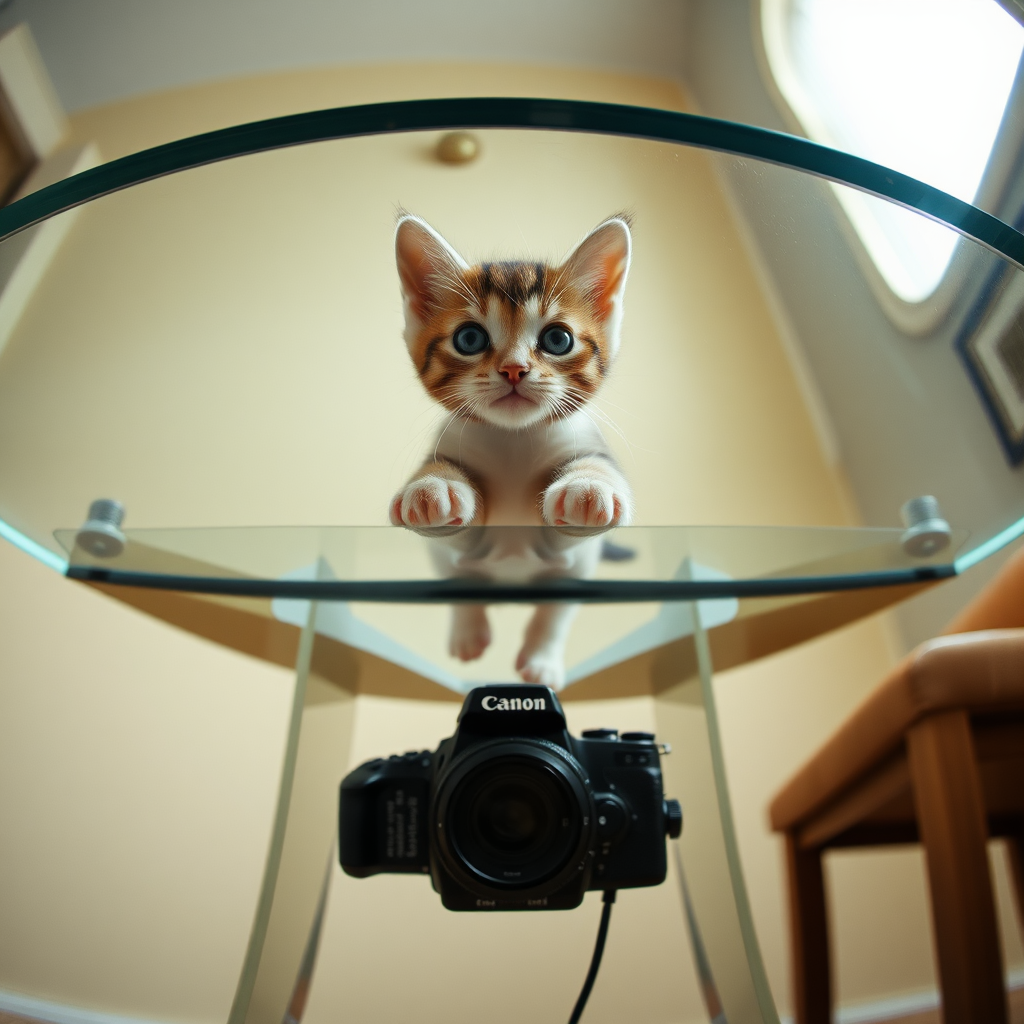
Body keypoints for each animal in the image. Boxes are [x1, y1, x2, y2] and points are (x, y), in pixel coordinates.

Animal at [389, 211, 630, 684]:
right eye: (469, 339)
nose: (514, 369)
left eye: (558, 339)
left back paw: (541, 661)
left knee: (554, 613)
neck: (514, 440)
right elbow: (459, 532)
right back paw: (469, 635)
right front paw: (434, 488)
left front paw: (587, 488)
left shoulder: (569, 555)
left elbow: (576, 513)